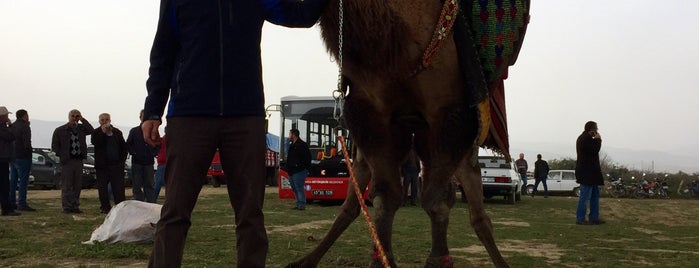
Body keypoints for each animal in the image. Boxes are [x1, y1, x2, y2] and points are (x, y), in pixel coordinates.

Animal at [288, 1, 528, 266]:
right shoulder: (370, 113)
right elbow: (385, 196)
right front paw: (382, 259)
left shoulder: (449, 114)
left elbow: (435, 200)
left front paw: (436, 260)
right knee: (351, 204)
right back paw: (306, 260)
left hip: (460, 146)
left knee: (476, 212)